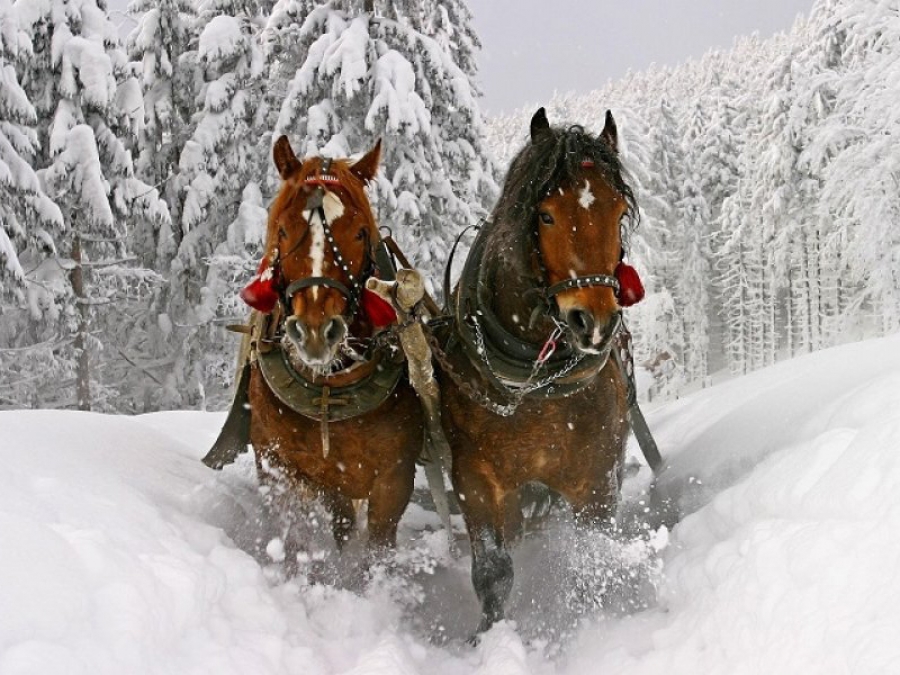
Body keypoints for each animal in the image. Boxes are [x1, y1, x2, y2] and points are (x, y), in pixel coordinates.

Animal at [239, 140, 426, 568]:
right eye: (283, 228)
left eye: (359, 233)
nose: (315, 332)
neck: (330, 388)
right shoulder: (278, 466)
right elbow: (292, 538)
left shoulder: (394, 478)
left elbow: (378, 550)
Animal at [438, 107, 640, 632]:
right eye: (546, 215)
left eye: (619, 213)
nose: (595, 322)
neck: (534, 385)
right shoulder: (475, 479)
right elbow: (493, 573)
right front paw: (489, 637)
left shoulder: (597, 478)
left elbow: (592, 561)